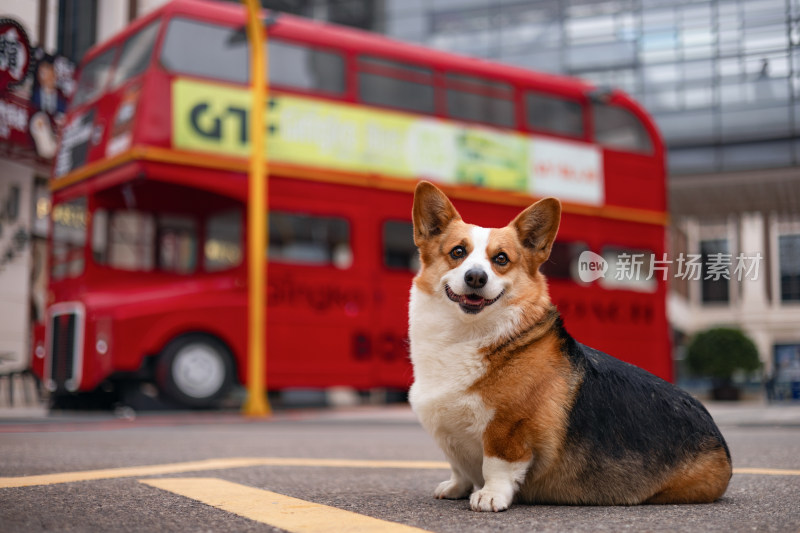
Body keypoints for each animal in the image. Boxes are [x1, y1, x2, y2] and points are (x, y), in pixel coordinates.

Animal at [406, 182, 732, 512]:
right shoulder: (451, 437)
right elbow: (458, 467)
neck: (466, 334)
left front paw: (490, 495)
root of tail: (721, 441)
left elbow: (497, 465)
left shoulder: (508, 429)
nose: (475, 277)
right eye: (457, 252)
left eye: (501, 259)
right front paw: (455, 487)